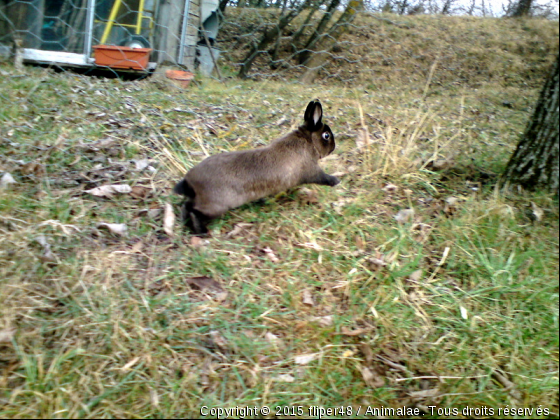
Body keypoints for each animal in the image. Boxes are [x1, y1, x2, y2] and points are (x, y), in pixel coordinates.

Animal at [175, 100, 340, 235]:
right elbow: (323, 177)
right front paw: (336, 181)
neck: (308, 142)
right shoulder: (312, 171)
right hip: (215, 206)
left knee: (186, 206)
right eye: (326, 135)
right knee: (194, 211)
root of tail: (188, 180)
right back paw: (201, 232)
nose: (334, 147)